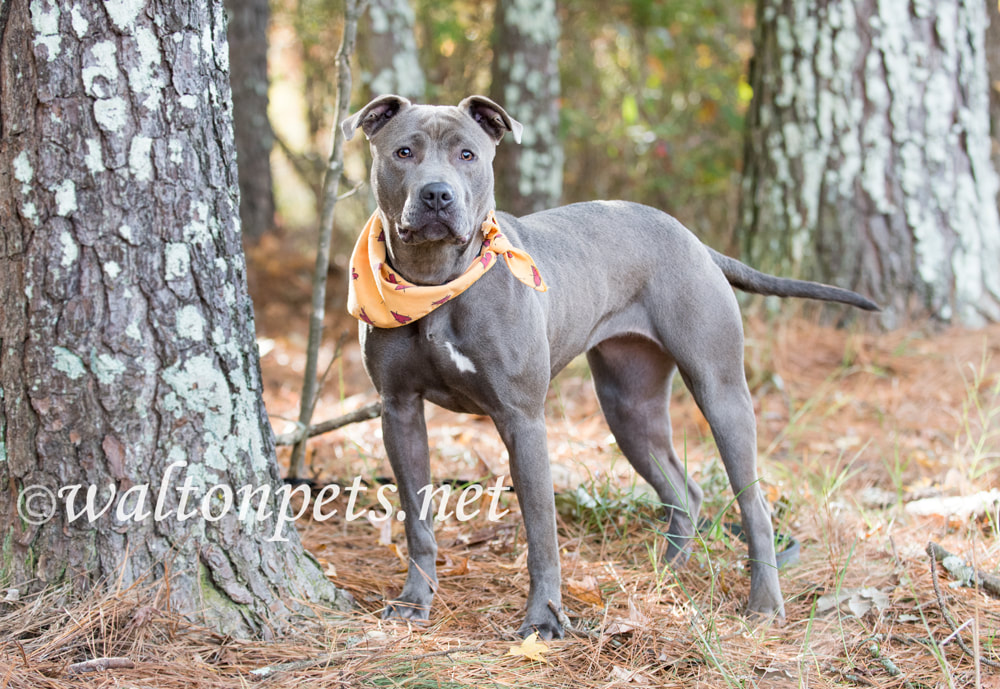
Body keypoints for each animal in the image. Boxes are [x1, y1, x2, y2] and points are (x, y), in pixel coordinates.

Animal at [342, 94, 876, 636]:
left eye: (467, 154)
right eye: (404, 152)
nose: (437, 194)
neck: (436, 285)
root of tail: (694, 241)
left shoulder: (522, 420)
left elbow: (542, 534)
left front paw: (543, 620)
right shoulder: (399, 411)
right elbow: (417, 521)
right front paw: (415, 601)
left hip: (721, 391)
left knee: (754, 504)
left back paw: (764, 602)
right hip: (629, 408)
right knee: (684, 492)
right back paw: (665, 578)